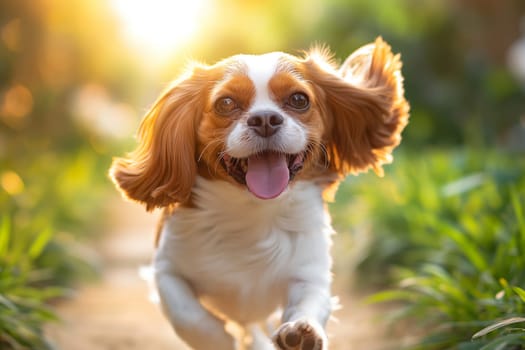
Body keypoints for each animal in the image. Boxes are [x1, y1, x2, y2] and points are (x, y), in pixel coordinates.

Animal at [108, 37, 408, 350]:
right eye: (226, 103)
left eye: (299, 99)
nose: (265, 118)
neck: (254, 210)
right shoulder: (166, 270)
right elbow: (188, 315)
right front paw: (219, 340)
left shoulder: (310, 271)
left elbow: (311, 301)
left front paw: (302, 333)